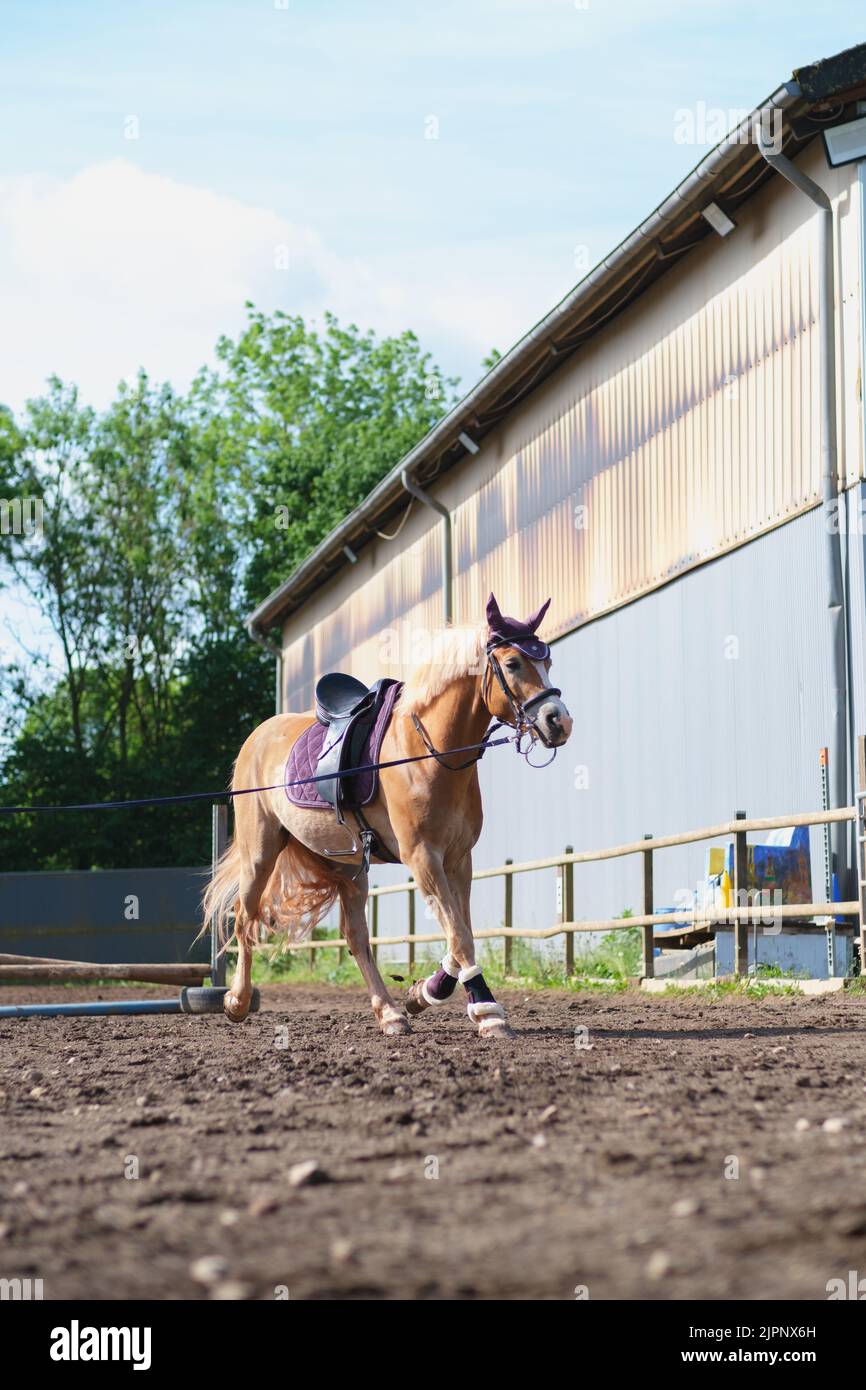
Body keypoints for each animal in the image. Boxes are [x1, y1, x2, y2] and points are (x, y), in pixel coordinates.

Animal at [200, 592, 572, 1039]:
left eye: (548, 661)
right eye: (514, 663)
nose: (559, 721)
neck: (431, 752)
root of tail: (257, 736)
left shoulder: (458, 859)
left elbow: (459, 934)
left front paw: (423, 993)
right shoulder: (422, 856)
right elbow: (460, 937)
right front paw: (488, 1011)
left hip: (346, 866)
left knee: (356, 937)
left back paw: (390, 1012)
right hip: (261, 852)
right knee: (244, 919)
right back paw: (237, 1001)